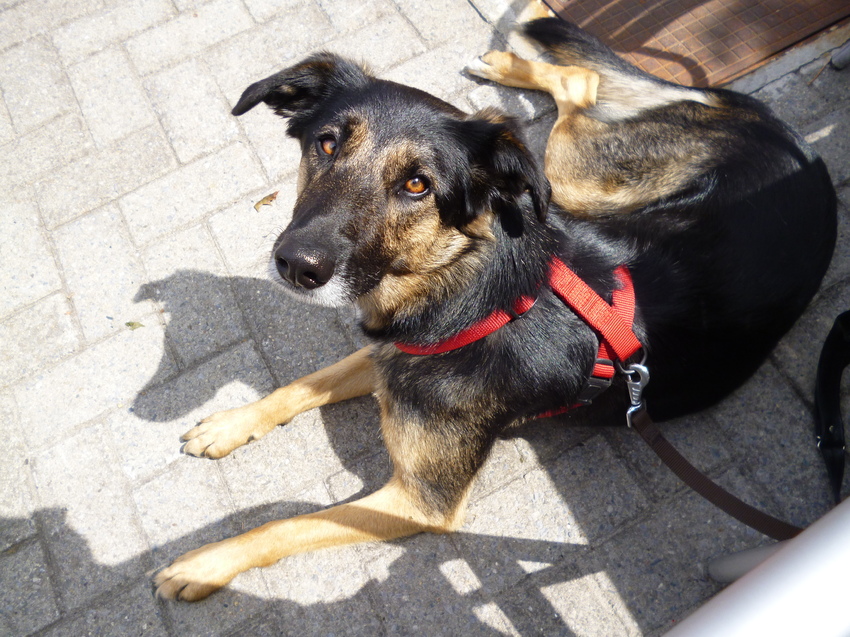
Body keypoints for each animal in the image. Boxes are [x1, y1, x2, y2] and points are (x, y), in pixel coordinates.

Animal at [153, 11, 836, 601]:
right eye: (325, 144)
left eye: (417, 185)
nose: (298, 265)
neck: (456, 283)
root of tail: (789, 134)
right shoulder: (392, 351)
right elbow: (303, 383)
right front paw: (230, 424)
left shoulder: (420, 499)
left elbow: (287, 522)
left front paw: (205, 564)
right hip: (571, 189)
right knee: (580, 80)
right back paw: (505, 61)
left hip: (569, 183)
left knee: (581, 87)